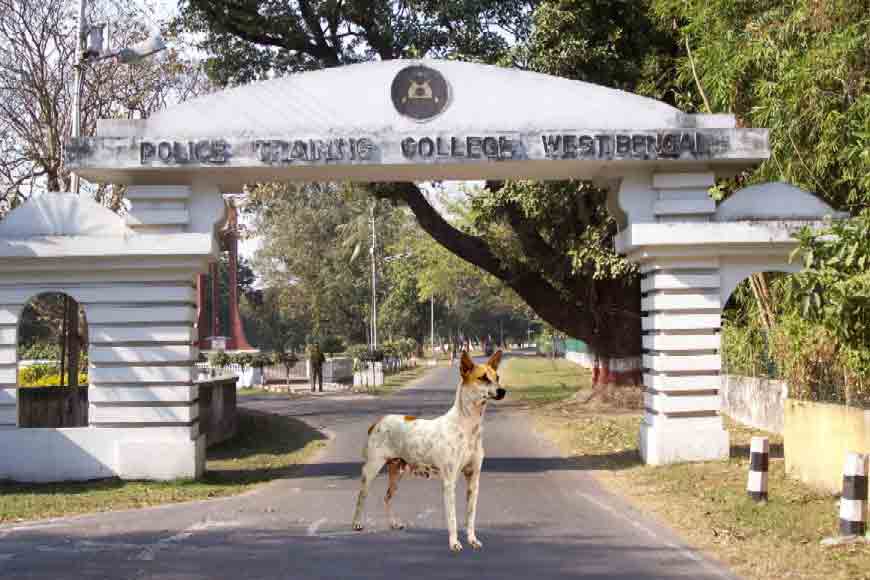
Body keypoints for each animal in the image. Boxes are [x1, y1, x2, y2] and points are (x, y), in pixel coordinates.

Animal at [350, 348, 508, 552]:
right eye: (483, 378)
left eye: (497, 377)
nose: (502, 391)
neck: (467, 427)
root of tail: (377, 422)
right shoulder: (449, 483)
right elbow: (452, 518)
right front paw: (454, 543)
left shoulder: (474, 480)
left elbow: (470, 516)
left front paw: (472, 539)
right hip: (372, 469)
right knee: (362, 496)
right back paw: (356, 523)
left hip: (397, 472)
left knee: (387, 498)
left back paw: (393, 523)